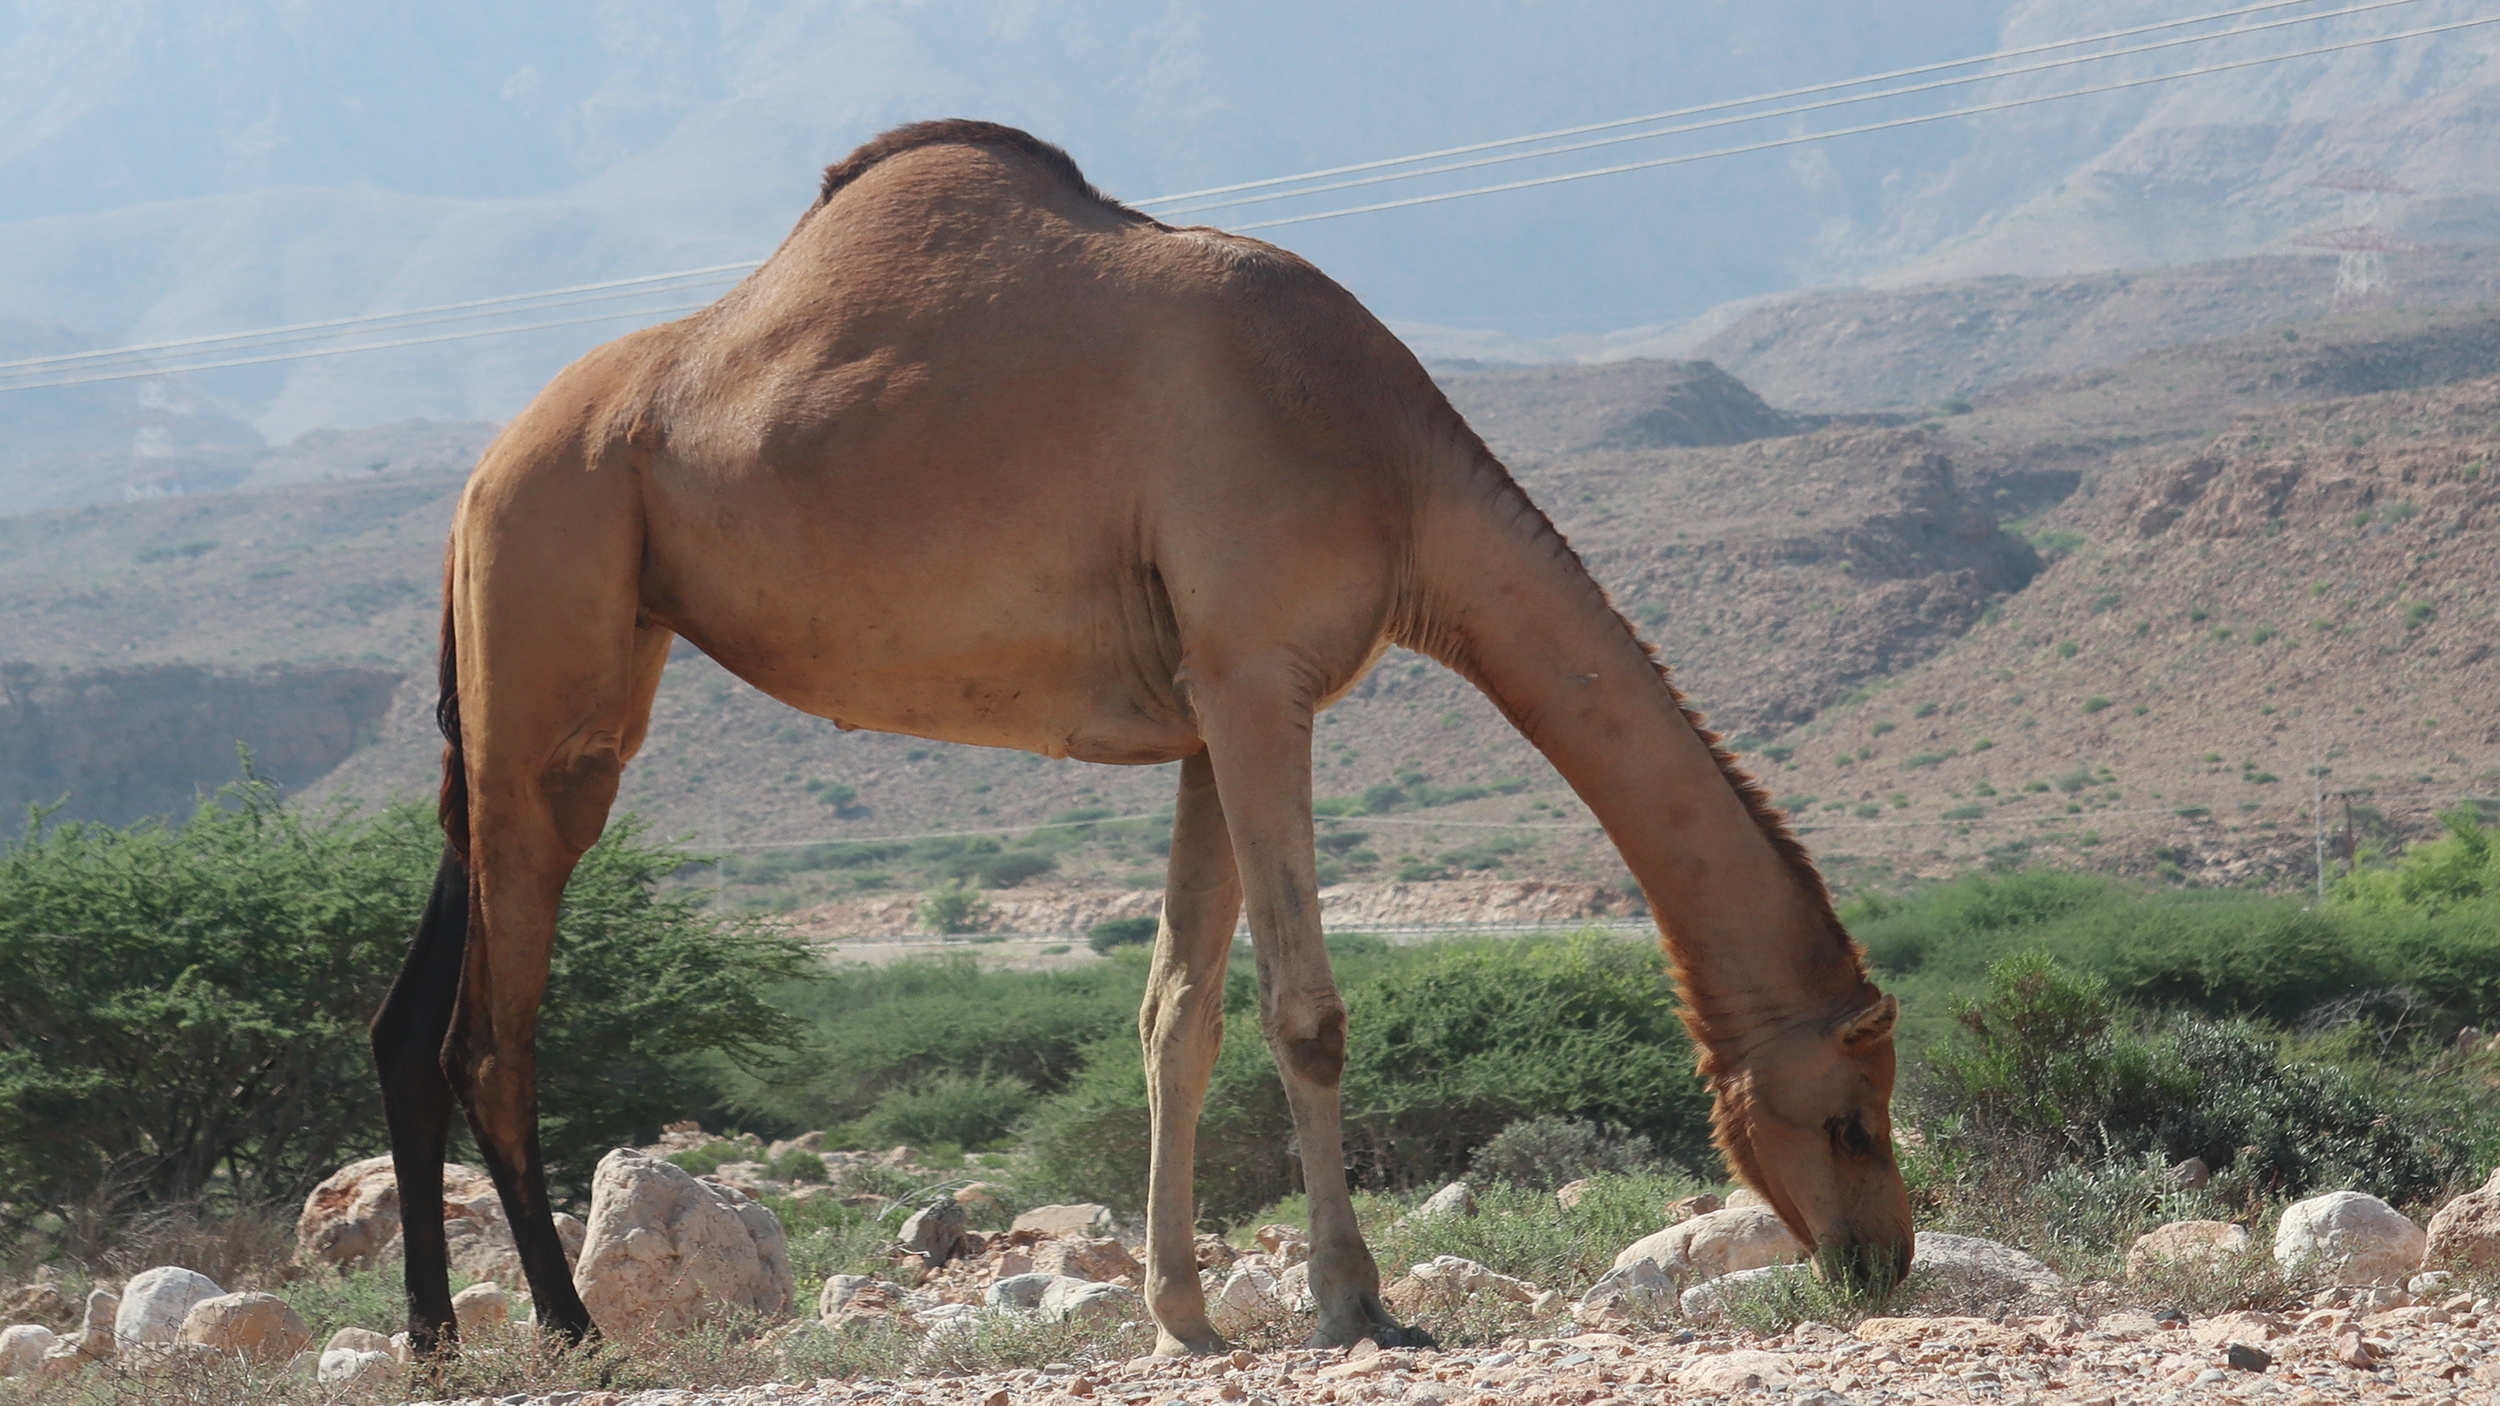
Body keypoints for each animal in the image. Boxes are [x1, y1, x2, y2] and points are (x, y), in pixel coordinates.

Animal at [371, 119, 1911, 1357]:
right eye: (1851, 1109)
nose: (1882, 1257)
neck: (1397, 470)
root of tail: (478, 477)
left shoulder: (1206, 710)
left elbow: (1179, 1009)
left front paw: (1183, 1314)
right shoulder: (1258, 673)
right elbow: (1306, 1010)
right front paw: (1357, 1303)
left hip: (508, 705)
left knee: (413, 1010)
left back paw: (439, 1336)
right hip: (557, 633)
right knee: (492, 1031)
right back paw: (571, 1331)